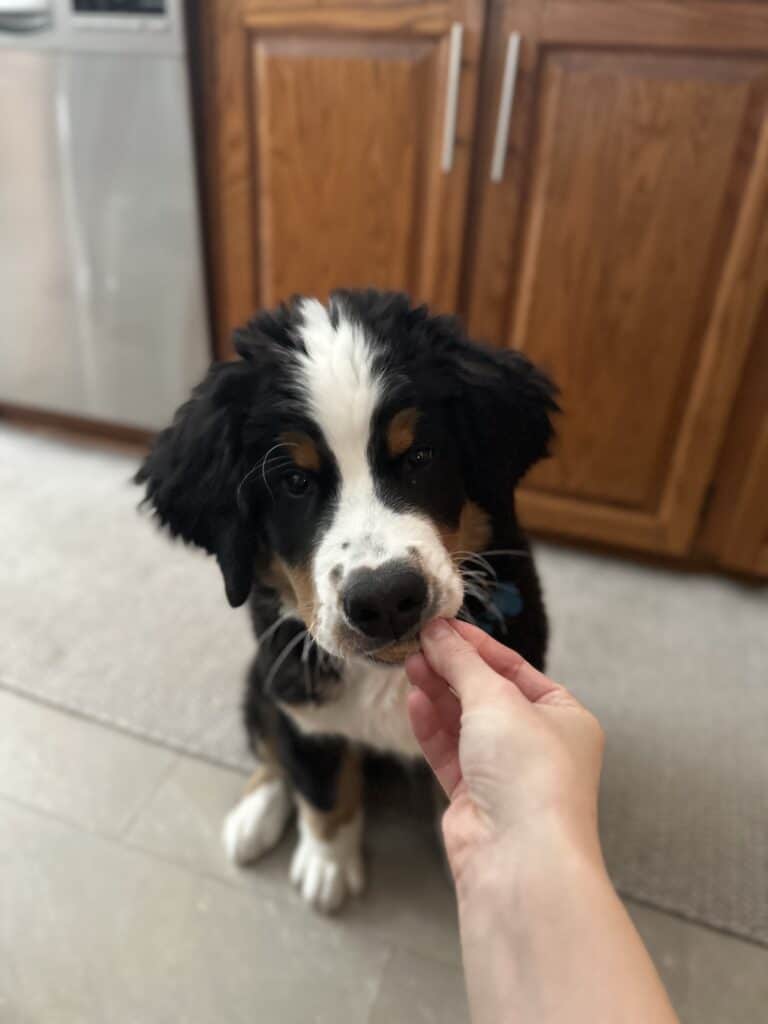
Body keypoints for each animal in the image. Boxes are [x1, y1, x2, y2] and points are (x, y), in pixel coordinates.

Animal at [138, 286, 557, 913]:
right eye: (293, 482)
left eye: (421, 456)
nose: (385, 599)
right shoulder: (301, 696)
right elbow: (321, 784)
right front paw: (327, 863)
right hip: (263, 680)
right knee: (271, 748)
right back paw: (256, 814)